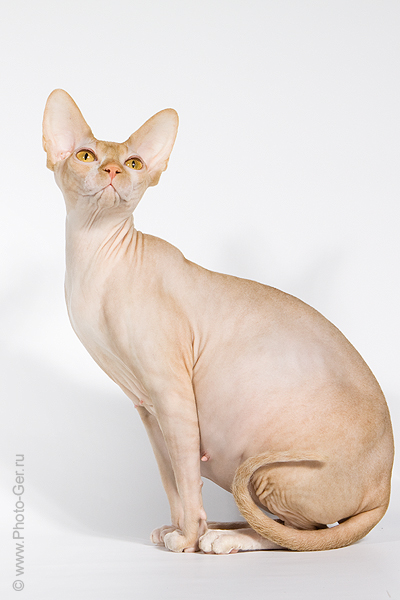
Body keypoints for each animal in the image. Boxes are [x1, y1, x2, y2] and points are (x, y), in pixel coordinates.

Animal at [42, 89, 394, 554]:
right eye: (86, 156)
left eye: (134, 163)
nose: (113, 169)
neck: (95, 258)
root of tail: (385, 489)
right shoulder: (146, 406)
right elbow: (171, 479)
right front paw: (180, 530)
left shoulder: (171, 391)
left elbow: (186, 476)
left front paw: (188, 538)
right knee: (283, 527)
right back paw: (223, 527)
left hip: (273, 470)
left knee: (302, 534)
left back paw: (226, 539)